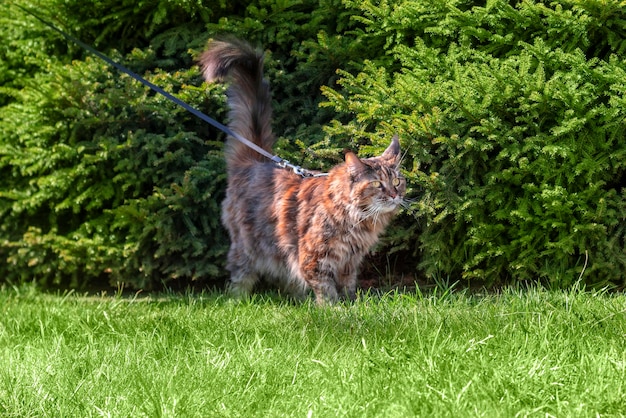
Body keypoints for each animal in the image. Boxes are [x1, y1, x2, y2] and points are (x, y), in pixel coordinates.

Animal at [199, 37, 404, 302]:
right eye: (377, 184)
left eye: (397, 181)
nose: (394, 195)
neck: (356, 218)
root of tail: (255, 162)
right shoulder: (313, 256)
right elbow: (326, 288)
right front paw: (334, 307)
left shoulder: (349, 261)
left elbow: (347, 286)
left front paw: (351, 302)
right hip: (248, 247)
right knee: (240, 277)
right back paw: (239, 299)